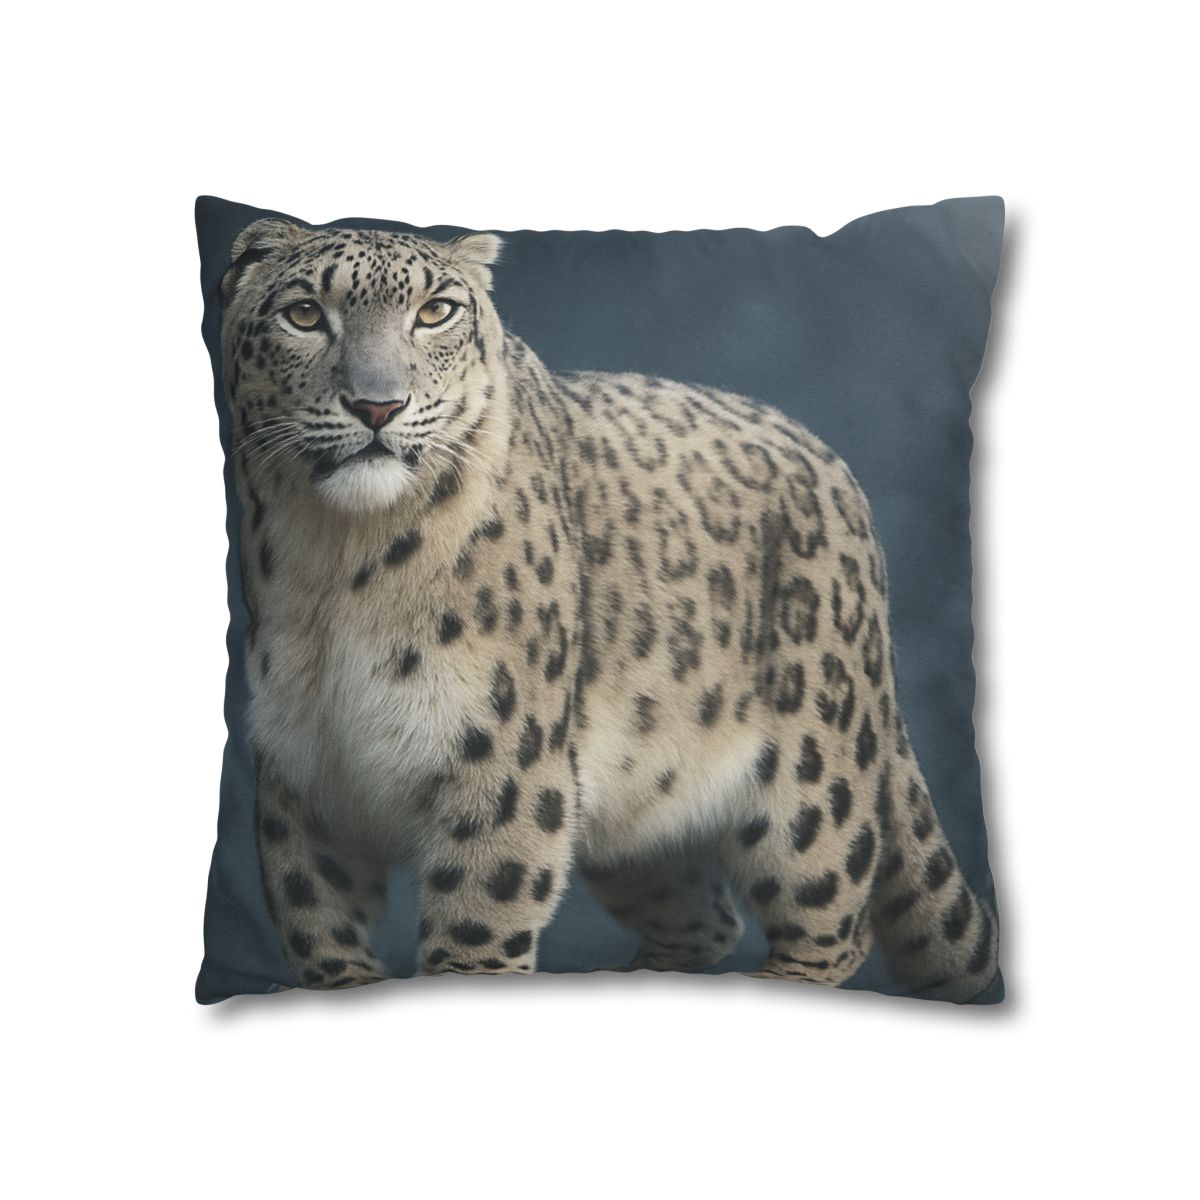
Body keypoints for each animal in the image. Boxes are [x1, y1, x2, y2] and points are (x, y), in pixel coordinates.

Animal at [219, 218, 999, 1002]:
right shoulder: (301, 768)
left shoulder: (501, 758)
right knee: (704, 915)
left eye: (436, 311)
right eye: (304, 314)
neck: (336, 564)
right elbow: (318, 926)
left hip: (813, 784)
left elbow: (479, 923)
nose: (378, 405)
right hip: (639, 810)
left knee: (832, 917)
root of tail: (837, 472)